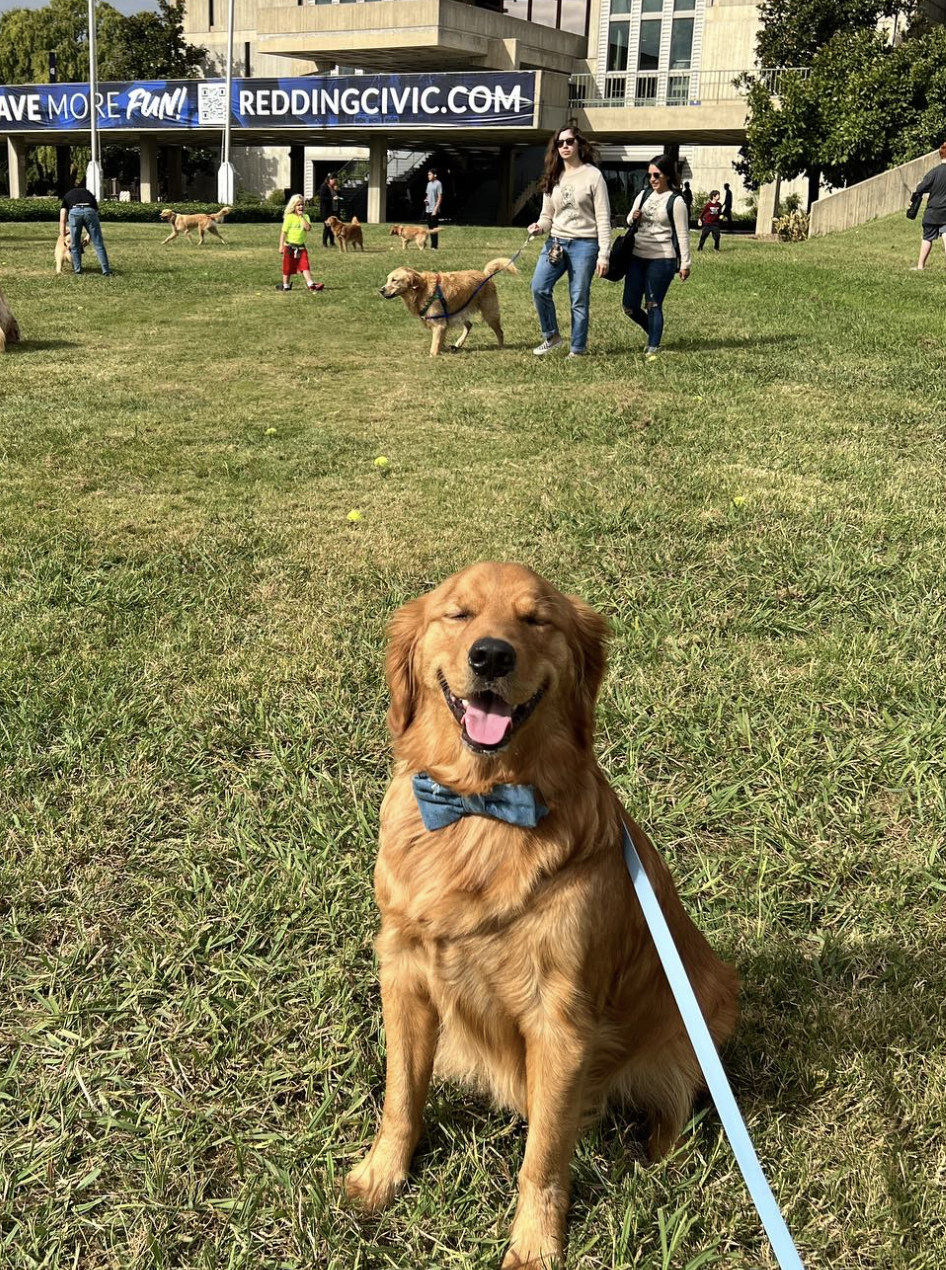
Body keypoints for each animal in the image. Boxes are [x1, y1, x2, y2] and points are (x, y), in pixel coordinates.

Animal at [347, 566, 736, 1270]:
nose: (491, 656)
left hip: (709, 1008)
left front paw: (534, 1245)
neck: (480, 810)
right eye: (458, 614)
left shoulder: (560, 1022)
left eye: (536, 620)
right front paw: (381, 1175)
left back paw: (662, 1158)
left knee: (679, 1102)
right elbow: (401, 1098)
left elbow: (545, 1157)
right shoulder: (405, 971)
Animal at [380, 257, 520, 358]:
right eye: (387, 279)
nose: (381, 290)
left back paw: (500, 347)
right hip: (459, 310)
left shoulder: (439, 324)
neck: (422, 289)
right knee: (469, 325)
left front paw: (434, 355)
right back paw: (458, 344)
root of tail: (486, 275)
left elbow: (434, 347)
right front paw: (443, 349)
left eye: (394, 280)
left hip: (489, 313)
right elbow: (440, 341)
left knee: (500, 332)